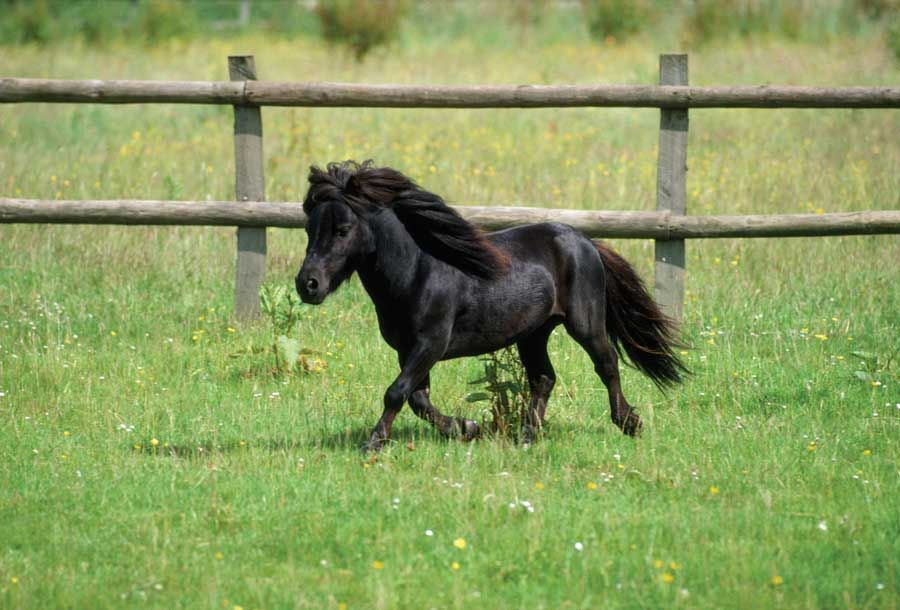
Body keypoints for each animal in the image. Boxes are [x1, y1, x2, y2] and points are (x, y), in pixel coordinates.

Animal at [295, 160, 687, 452]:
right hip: (533, 333)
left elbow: (396, 393)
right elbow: (417, 399)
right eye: (309, 229)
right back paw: (527, 437)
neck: (417, 272)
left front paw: (373, 443)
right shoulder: (408, 350)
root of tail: (585, 241)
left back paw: (629, 422)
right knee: (544, 378)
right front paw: (467, 428)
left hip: (584, 323)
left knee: (606, 365)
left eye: (343, 230)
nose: (307, 285)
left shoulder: (430, 344)